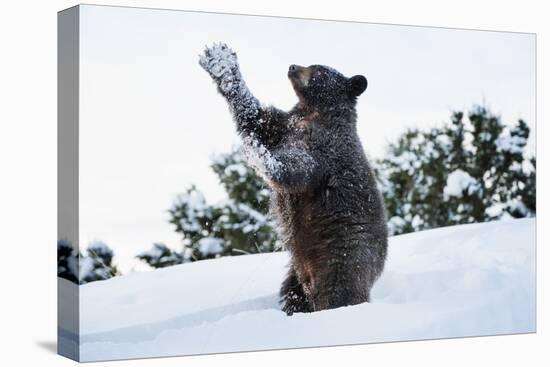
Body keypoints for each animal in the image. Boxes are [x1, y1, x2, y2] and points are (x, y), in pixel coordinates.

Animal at [199, 42, 388, 314]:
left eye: (318, 69)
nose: (292, 66)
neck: (312, 112)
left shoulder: (323, 149)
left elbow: (296, 168)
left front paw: (258, 154)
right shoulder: (284, 125)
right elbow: (254, 116)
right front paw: (220, 61)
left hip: (345, 253)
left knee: (338, 292)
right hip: (296, 271)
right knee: (294, 293)